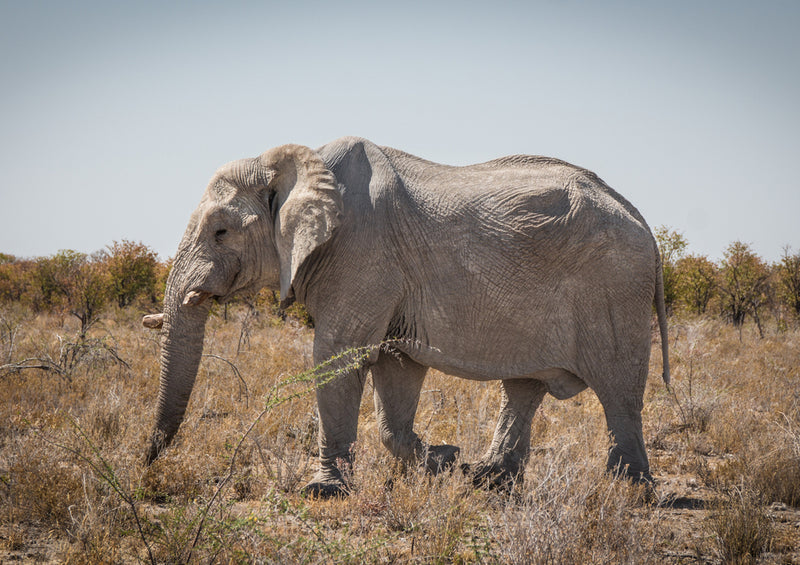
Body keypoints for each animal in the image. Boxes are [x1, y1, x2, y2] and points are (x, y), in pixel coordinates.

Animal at [142, 137, 668, 498]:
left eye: (220, 232)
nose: (145, 462)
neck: (302, 163)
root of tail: (642, 220)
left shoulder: (363, 254)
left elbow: (338, 356)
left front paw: (323, 492)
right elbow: (396, 367)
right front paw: (443, 460)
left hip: (615, 288)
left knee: (618, 390)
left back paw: (628, 492)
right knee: (524, 387)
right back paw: (486, 479)